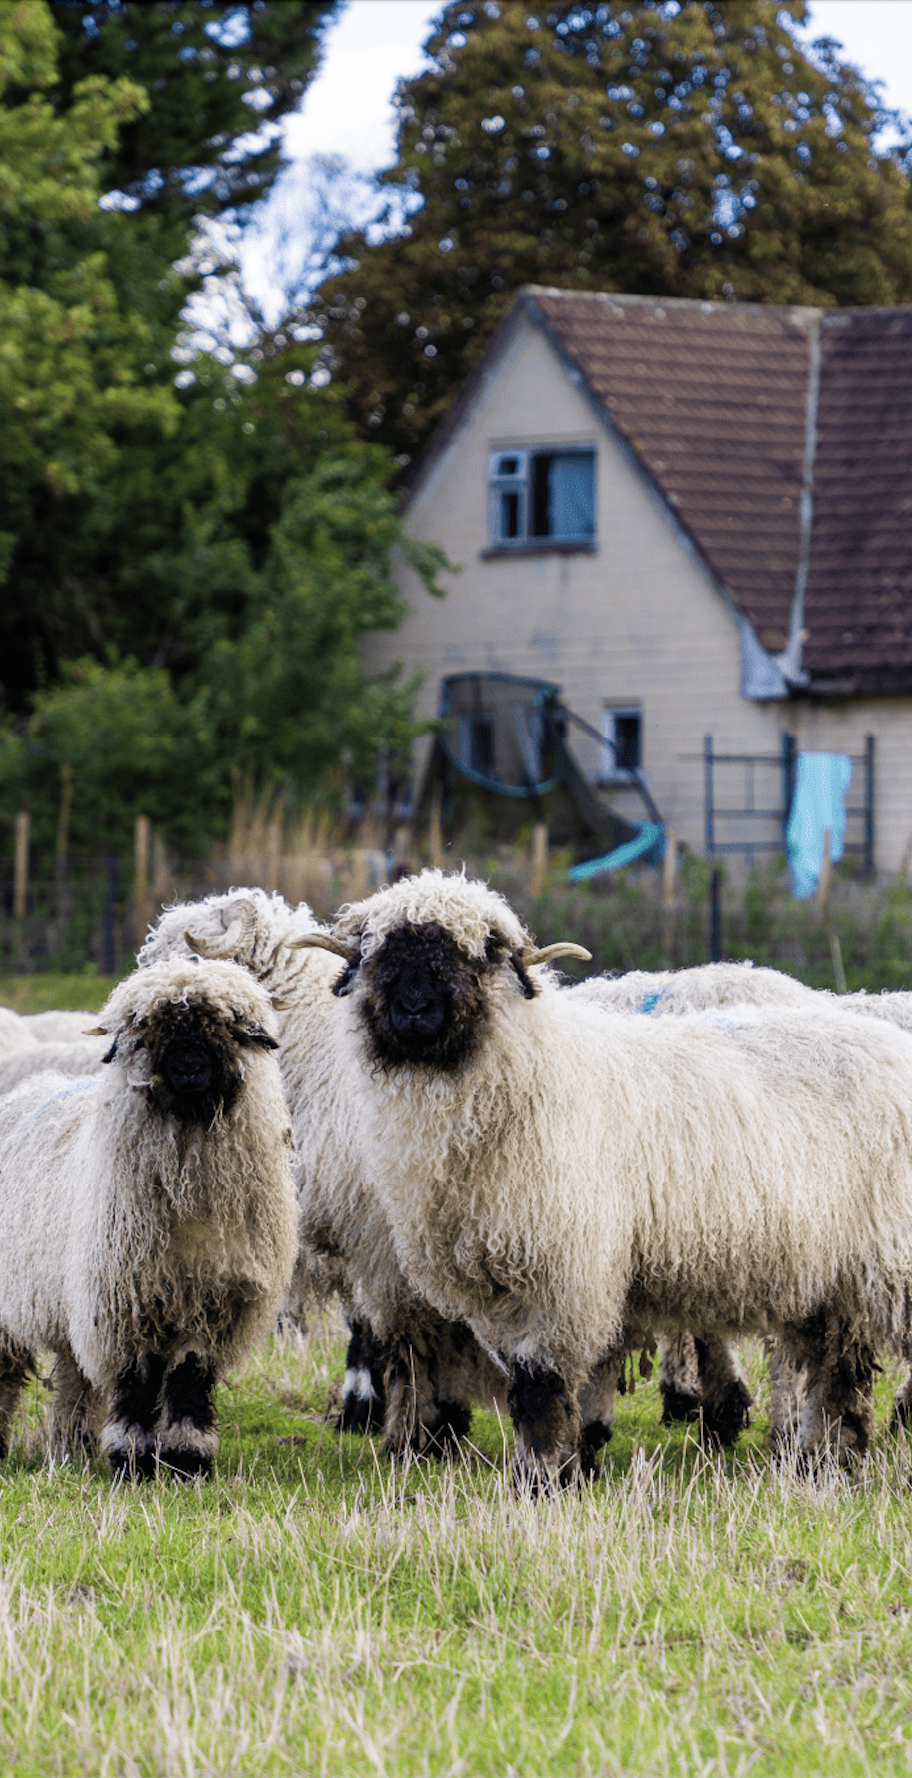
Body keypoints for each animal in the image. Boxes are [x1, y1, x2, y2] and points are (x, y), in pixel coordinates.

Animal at [0, 955, 297, 1478]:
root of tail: (27, 1090)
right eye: (148, 1030)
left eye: (227, 1026)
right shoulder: (125, 1298)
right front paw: (132, 1457)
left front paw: (186, 1458)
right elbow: (137, 1377)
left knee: (74, 1378)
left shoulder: (212, 1300)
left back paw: (71, 1451)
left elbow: (188, 1378)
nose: (188, 1067)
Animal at [299, 867, 912, 1492]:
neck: (528, 1074)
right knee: (838, 1369)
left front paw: (541, 1478)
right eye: (378, 953)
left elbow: (540, 1383)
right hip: (833, 1275)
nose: (415, 1008)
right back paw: (825, 1461)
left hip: (884, 1260)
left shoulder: (563, 1269)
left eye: (480, 953)